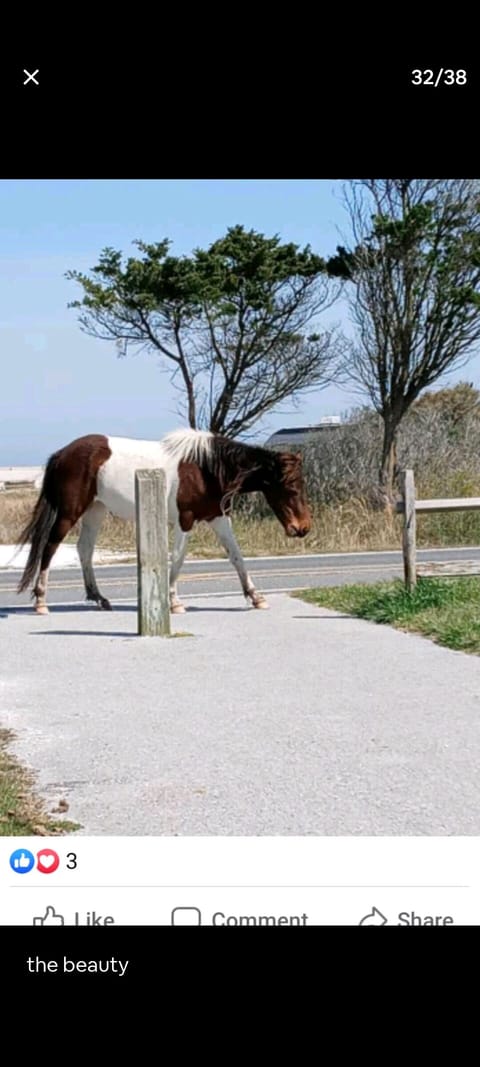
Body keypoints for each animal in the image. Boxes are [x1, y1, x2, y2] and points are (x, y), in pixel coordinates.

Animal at [16, 426, 311, 618]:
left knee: (84, 550)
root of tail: (62, 454)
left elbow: (236, 556)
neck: (206, 469)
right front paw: (174, 602)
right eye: (290, 488)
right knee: (49, 547)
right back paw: (41, 602)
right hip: (69, 512)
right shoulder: (185, 520)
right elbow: (177, 558)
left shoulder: (218, 518)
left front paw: (256, 597)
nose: (302, 528)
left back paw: (99, 598)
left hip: (95, 511)